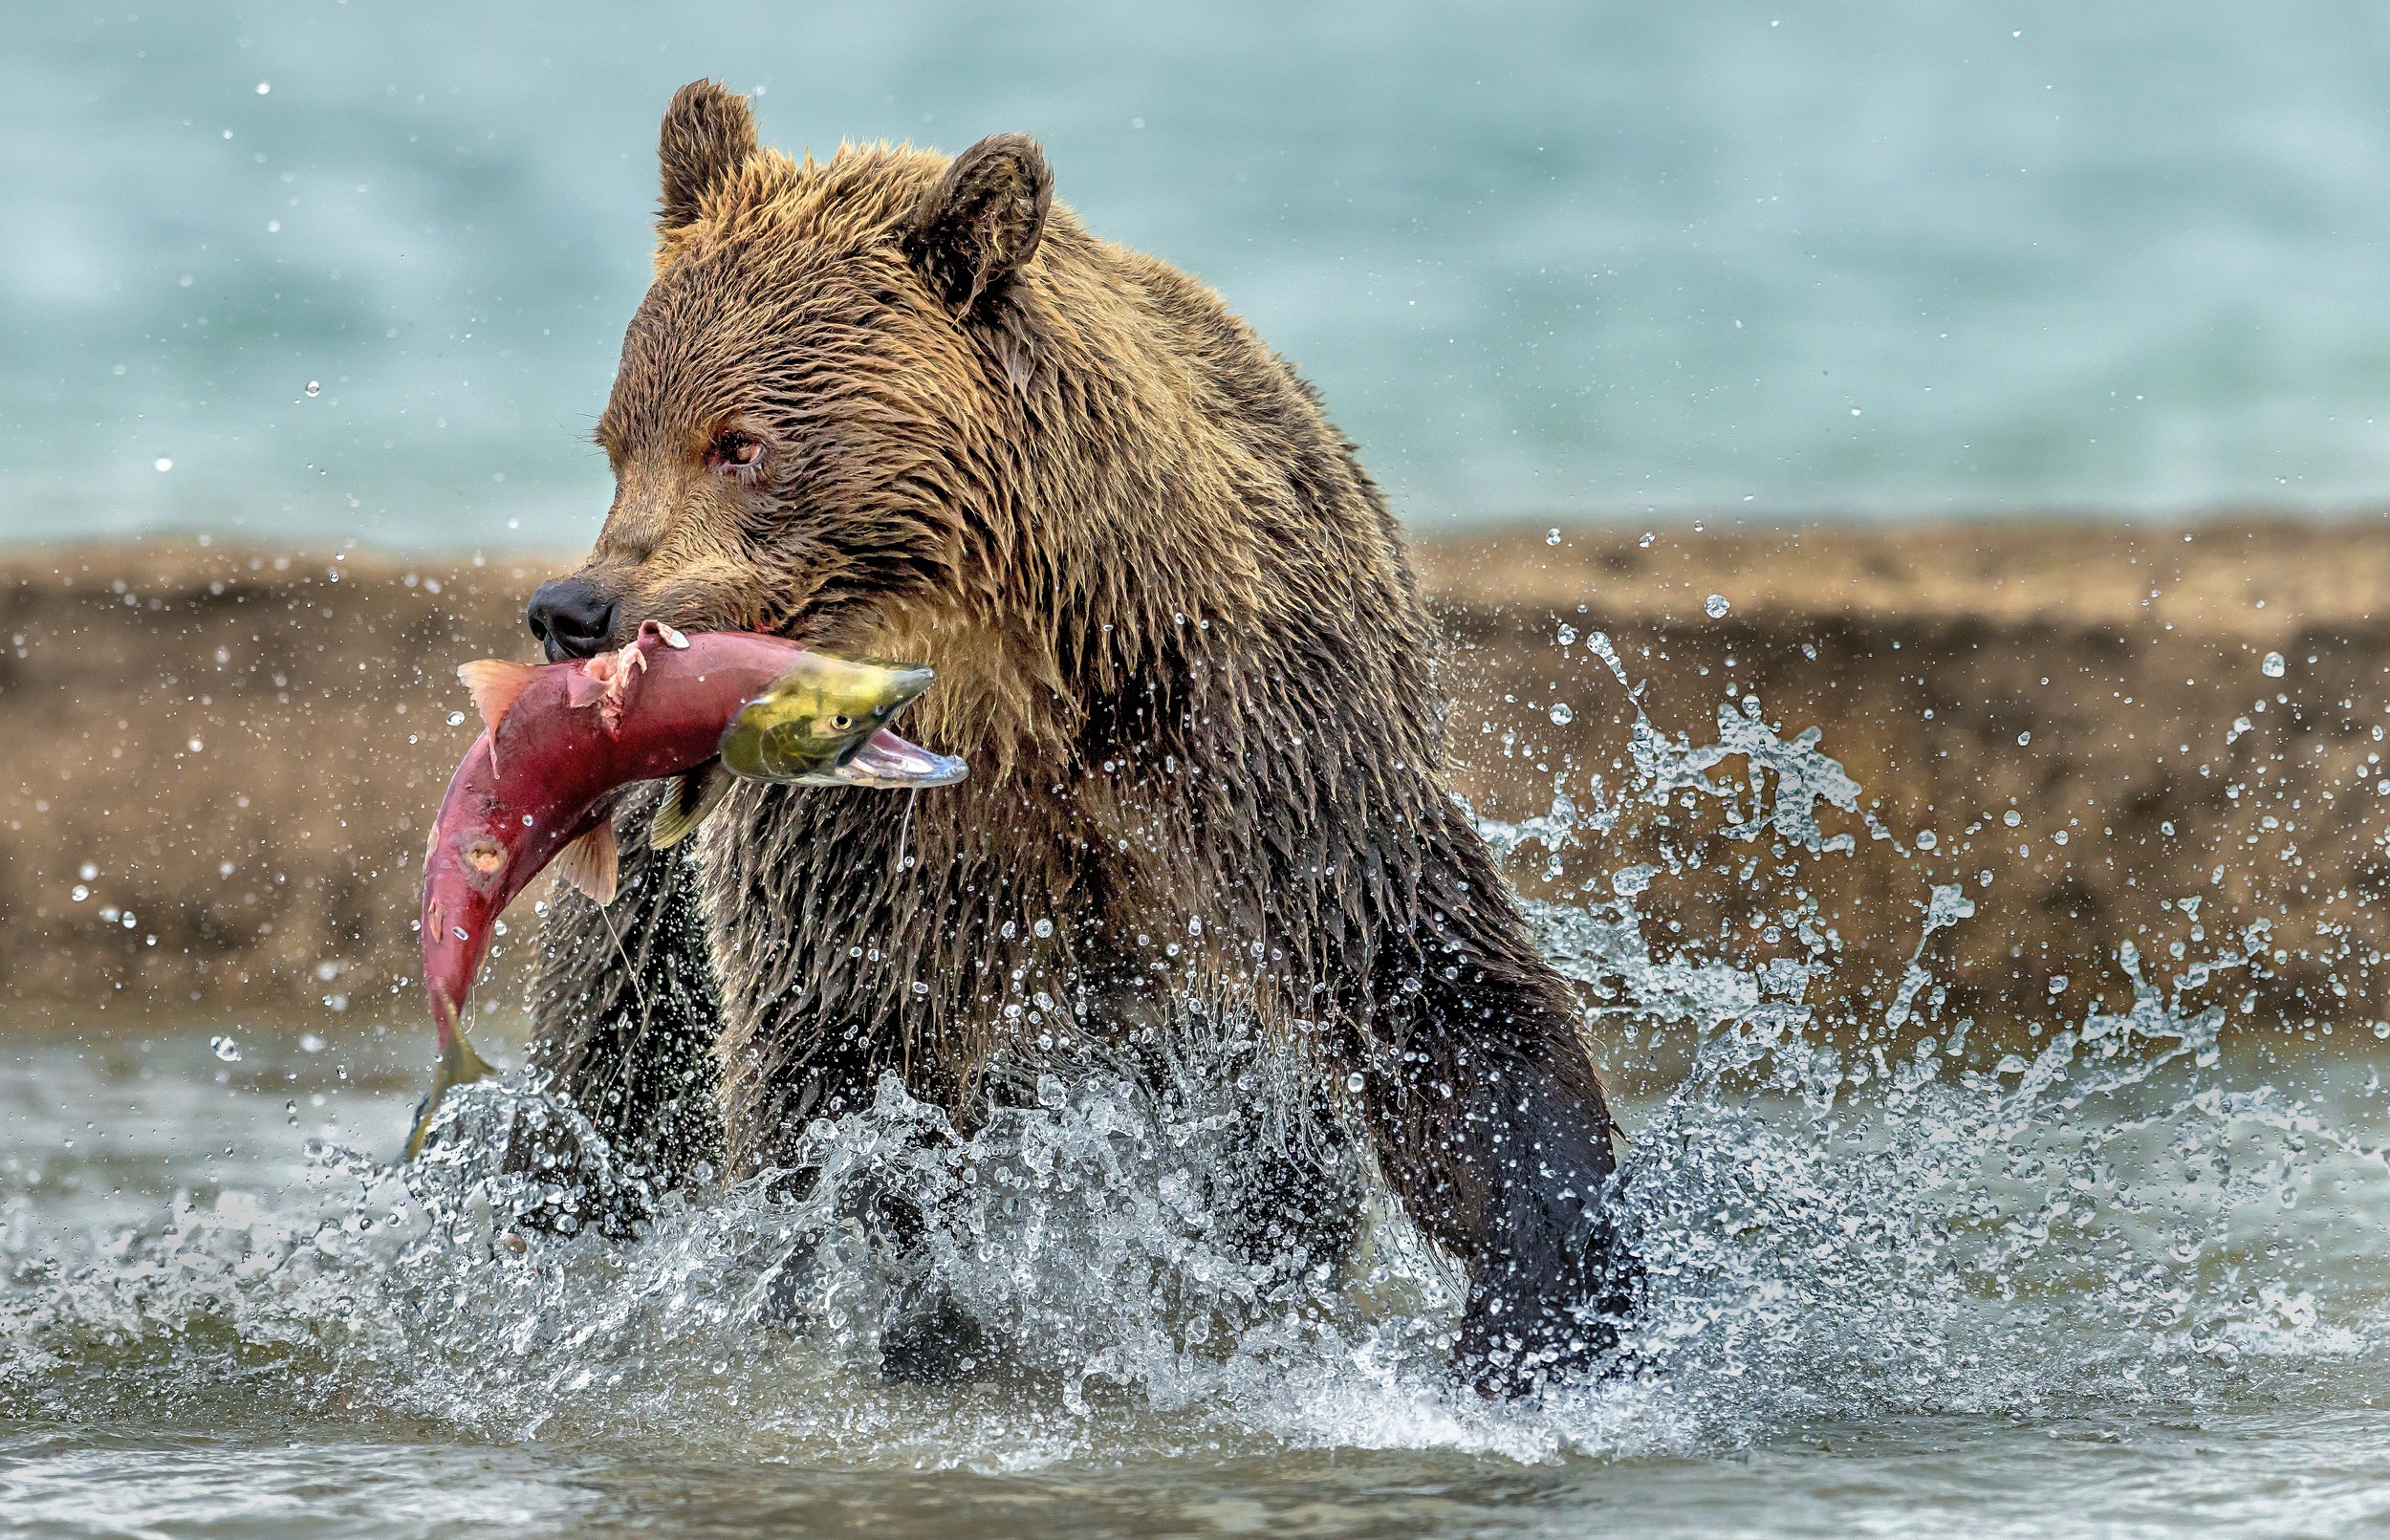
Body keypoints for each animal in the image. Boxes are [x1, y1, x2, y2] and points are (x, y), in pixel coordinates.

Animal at [515, 80, 1634, 1393]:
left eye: (739, 441)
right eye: (618, 440)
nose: (573, 612)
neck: (1024, 674)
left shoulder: (1255, 741)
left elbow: (1422, 975)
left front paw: (1544, 1301)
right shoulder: (869, 835)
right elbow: (840, 1063)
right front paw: (891, 1304)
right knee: (611, 1066)